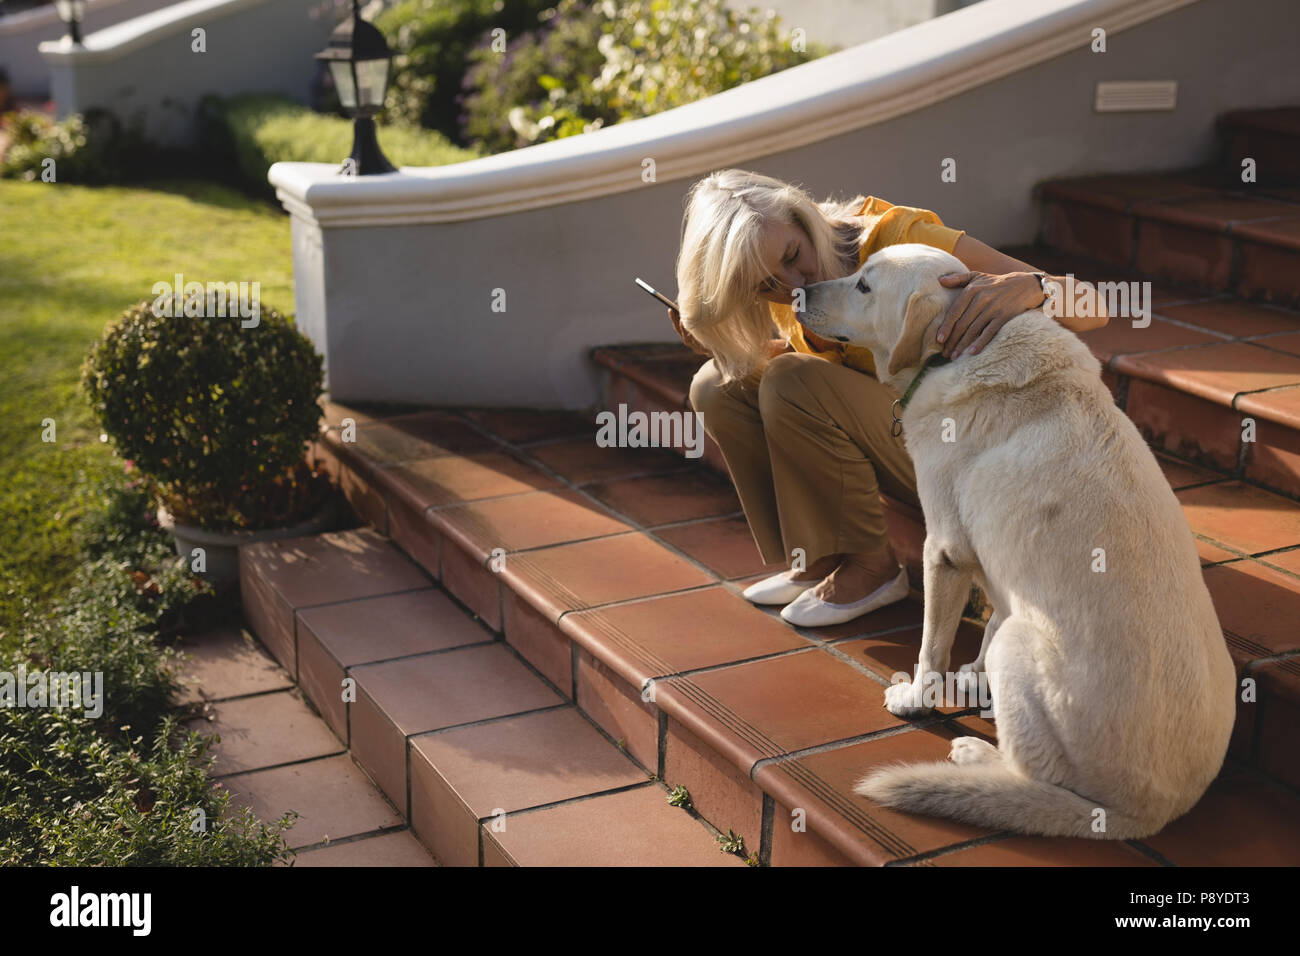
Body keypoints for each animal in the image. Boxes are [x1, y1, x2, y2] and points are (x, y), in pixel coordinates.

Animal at [795, 244, 1232, 837]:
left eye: (864, 285)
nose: (799, 292)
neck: (953, 357)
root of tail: (1146, 816)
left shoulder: (945, 547)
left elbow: (932, 645)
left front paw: (916, 698)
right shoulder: (997, 558)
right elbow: (988, 620)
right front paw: (973, 680)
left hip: (1023, 646)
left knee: (1036, 775)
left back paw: (978, 757)